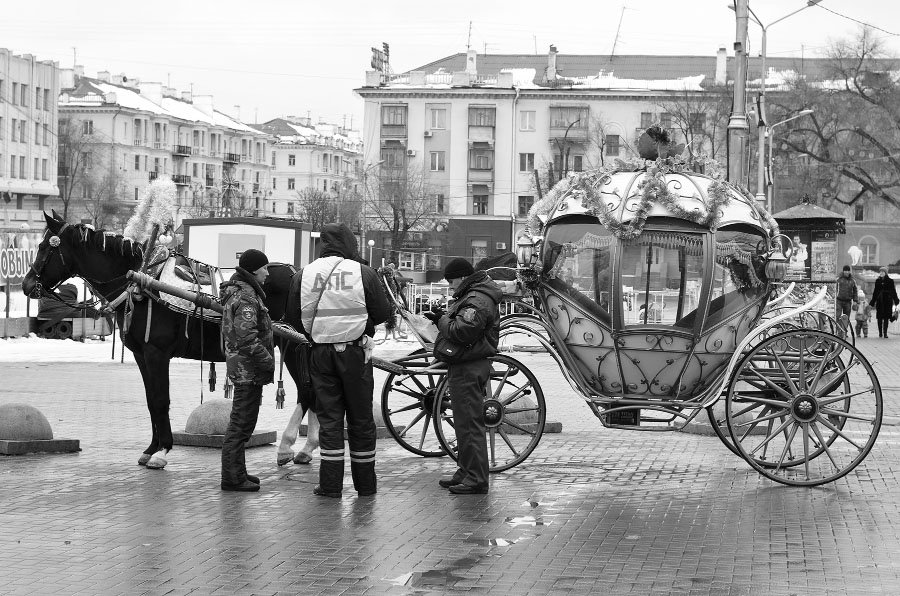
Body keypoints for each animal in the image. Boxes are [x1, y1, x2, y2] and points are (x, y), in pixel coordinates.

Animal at [22, 213, 320, 470]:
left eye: (45, 246)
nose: (26, 285)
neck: (141, 283)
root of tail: (297, 273)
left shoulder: (156, 353)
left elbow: (161, 399)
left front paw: (162, 451)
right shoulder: (141, 355)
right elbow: (151, 400)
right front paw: (151, 449)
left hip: (294, 347)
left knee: (306, 394)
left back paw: (288, 447)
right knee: (313, 393)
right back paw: (307, 448)